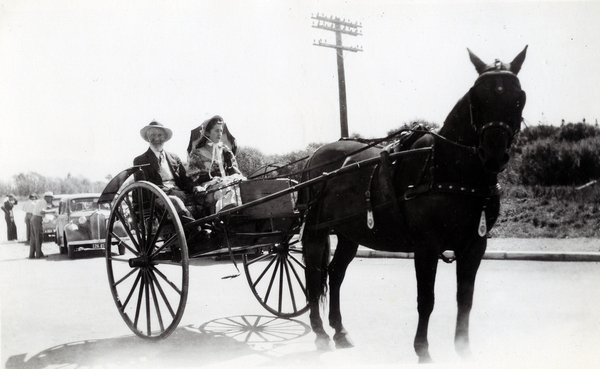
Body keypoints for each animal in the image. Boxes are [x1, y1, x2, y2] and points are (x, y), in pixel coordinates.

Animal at [298, 46, 528, 362]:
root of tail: (315, 156)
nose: (493, 154)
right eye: (476, 96)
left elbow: (465, 298)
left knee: (334, 274)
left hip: (348, 234)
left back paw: (340, 331)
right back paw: (320, 333)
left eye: (518, 97)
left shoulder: (474, 246)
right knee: (314, 275)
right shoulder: (426, 246)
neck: (445, 167)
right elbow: (426, 300)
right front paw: (423, 349)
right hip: (317, 231)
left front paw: (463, 349)